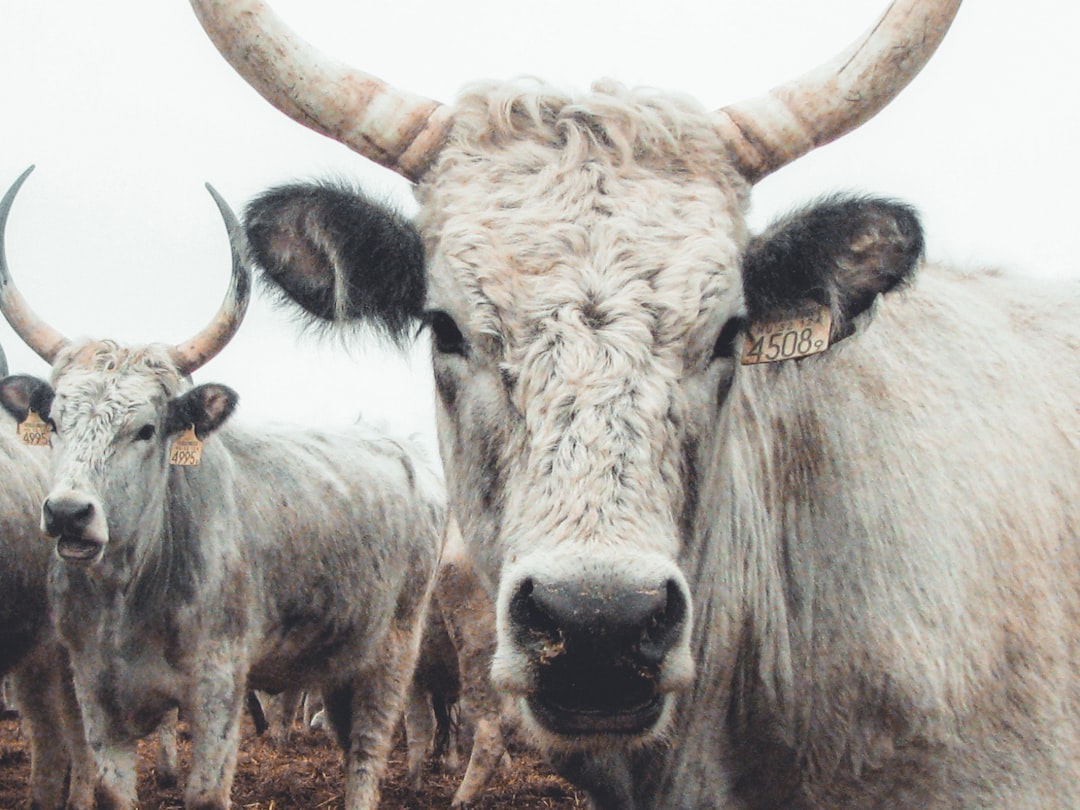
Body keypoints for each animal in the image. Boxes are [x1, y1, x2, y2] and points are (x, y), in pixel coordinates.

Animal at [0, 166, 447, 810]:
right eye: (55, 422)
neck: (129, 594)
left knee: (368, 752)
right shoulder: (95, 693)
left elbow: (205, 793)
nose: (67, 513)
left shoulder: (218, 692)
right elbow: (111, 789)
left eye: (147, 429)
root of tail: (400, 444)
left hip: (392, 653)